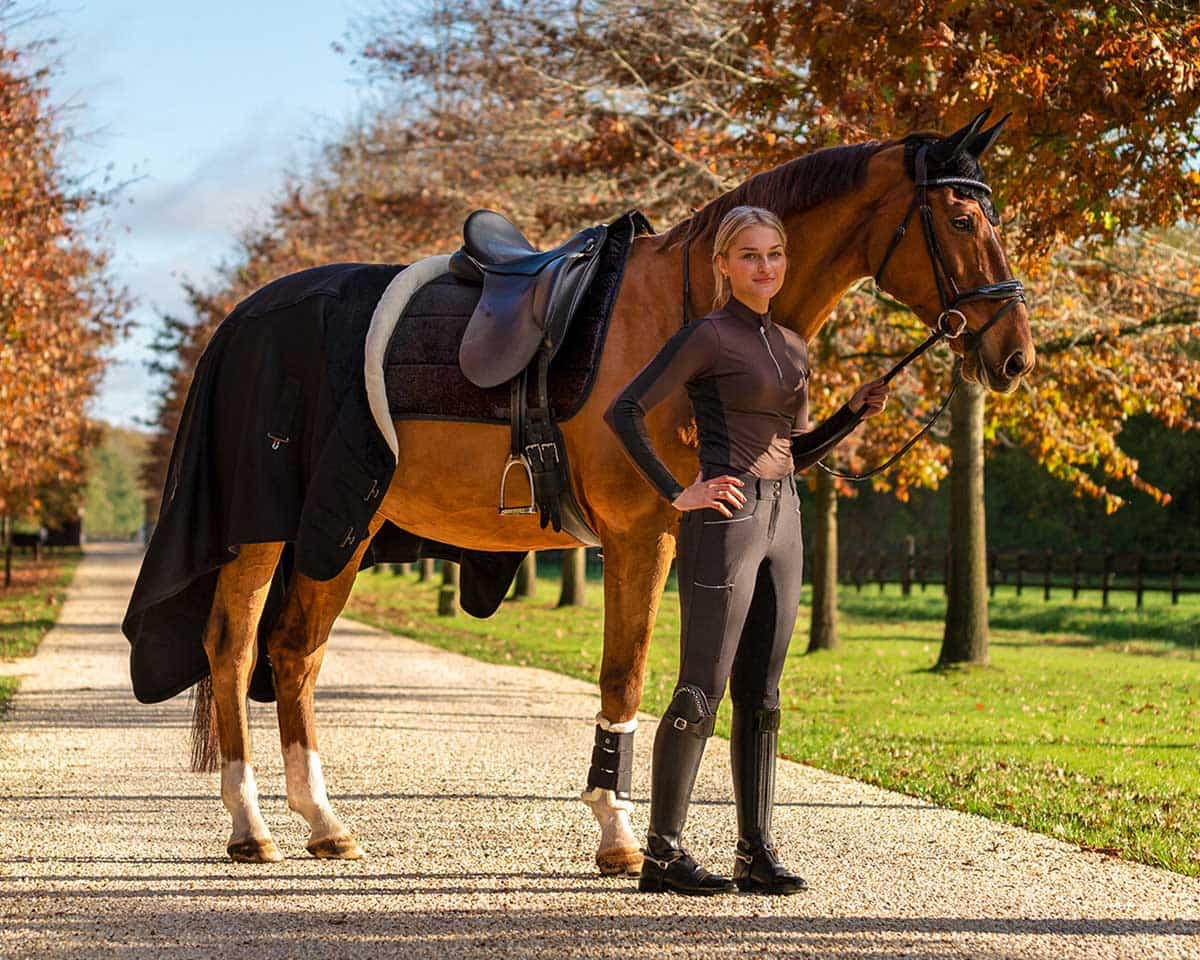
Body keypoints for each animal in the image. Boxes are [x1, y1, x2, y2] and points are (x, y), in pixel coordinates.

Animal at [189, 108, 1032, 864]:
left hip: (339, 533)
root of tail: (243, 320)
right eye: (962, 219)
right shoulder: (642, 534)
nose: (1016, 354)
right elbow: (625, 678)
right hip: (278, 531)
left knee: (292, 654)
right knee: (236, 650)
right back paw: (251, 824)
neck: (686, 310)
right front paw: (621, 835)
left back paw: (320, 822)